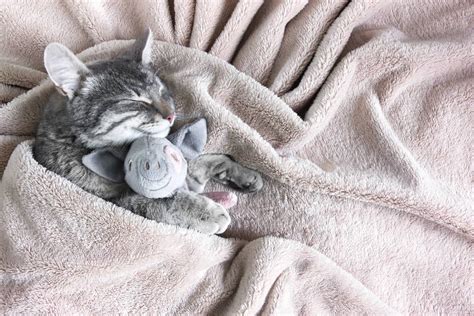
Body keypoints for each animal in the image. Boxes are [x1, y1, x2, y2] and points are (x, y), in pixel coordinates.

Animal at [33, 30, 262, 235]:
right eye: (136, 100)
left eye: (162, 91)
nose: (171, 115)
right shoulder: (113, 202)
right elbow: (162, 201)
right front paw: (205, 212)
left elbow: (204, 160)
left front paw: (242, 173)